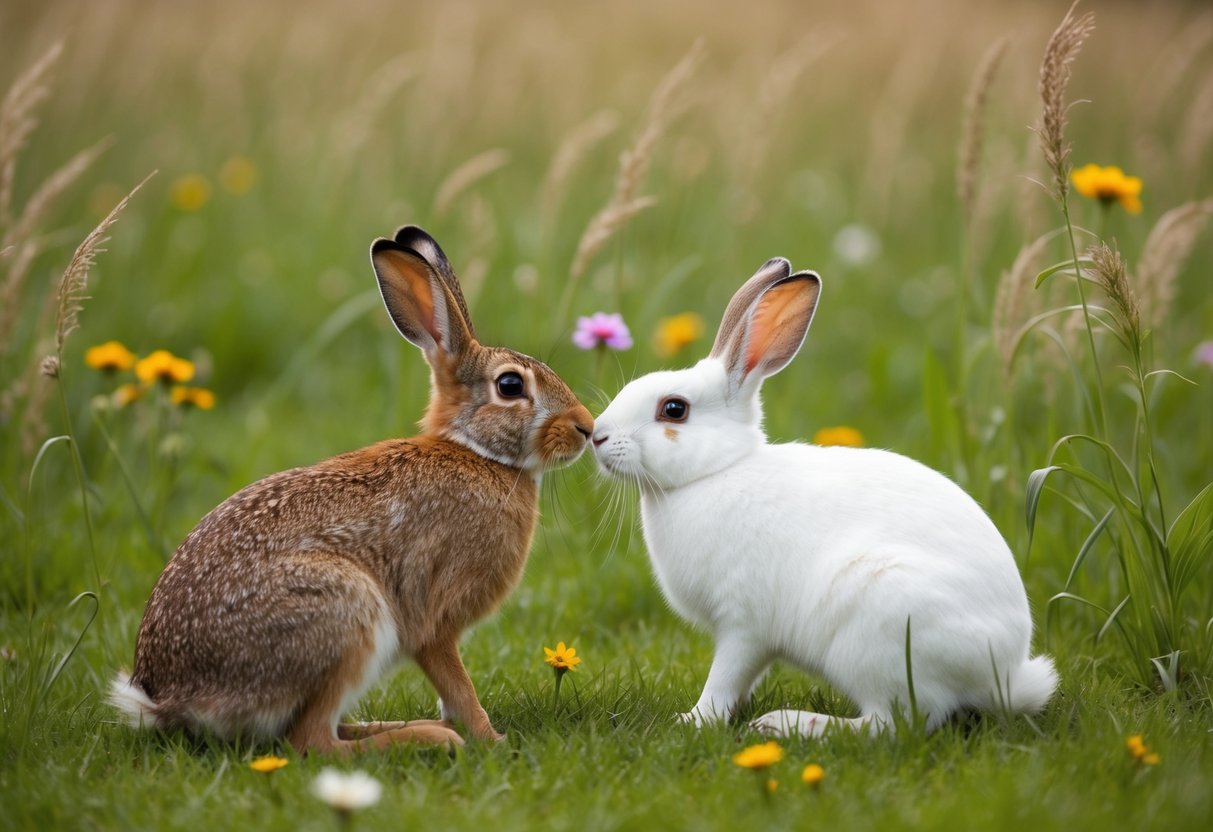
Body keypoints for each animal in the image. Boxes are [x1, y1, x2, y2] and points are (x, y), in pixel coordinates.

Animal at [110, 226, 594, 753]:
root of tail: (169, 698)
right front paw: (493, 739)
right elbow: (458, 686)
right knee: (312, 740)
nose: (587, 428)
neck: (477, 453)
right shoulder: (434, 621)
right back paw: (428, 738)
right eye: (509, 386)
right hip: (346, 613)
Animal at [591, 257, 1057, 736]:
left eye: (674, 409)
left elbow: (724, 677)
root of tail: (1003, 675)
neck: (717, 470)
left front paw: (694, 720)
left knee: (894, 723)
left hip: (880, 635)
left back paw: (786, 724)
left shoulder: (743, 624)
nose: (597, 435)